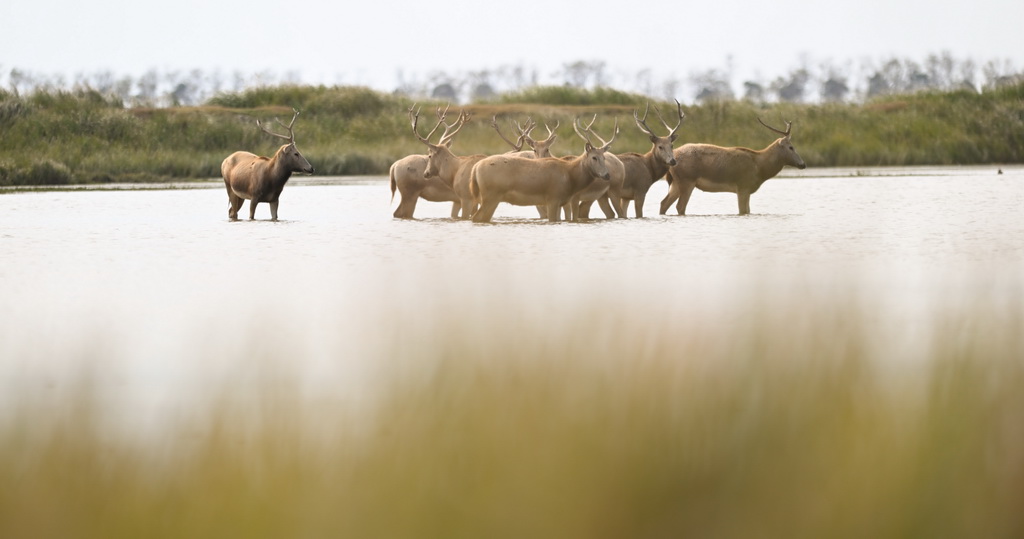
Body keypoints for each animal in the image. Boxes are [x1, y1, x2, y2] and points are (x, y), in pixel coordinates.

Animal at [468, 117, 614, 223]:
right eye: (594, 157)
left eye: (604, 157)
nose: (607, 175)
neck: (570, 176)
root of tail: (475, 168)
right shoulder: (553, 198)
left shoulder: (560, 202)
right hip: (491, 196)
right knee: (476, 217)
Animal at [659, 119, 802, 216]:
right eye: (791, 147)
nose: (803, 164)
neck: (759, 164)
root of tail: (673, 157)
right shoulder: (743, 187)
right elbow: (743, 211)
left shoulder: (746, 190)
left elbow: (748, 211)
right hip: (687, 181)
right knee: (680, 206)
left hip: (676, 183)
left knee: (664, 203)